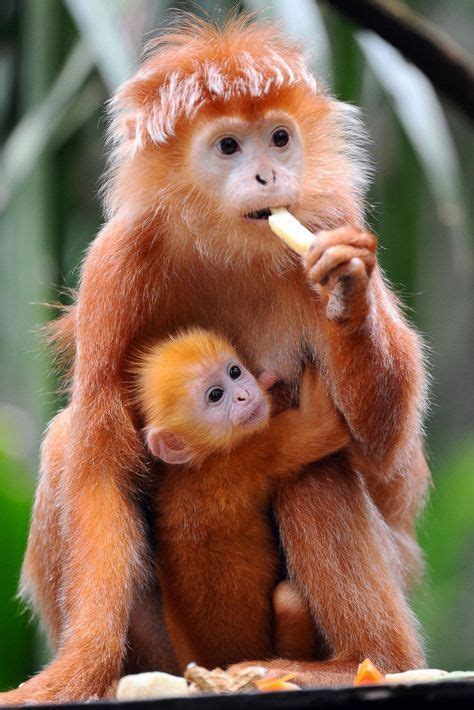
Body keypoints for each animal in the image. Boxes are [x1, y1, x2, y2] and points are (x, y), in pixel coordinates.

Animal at [137, 328, 348, 672]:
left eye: (234, 372)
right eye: (215, 395)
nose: (244, 396)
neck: (202, 458)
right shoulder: (255, 452)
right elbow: (325, 425)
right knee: (289, 598)